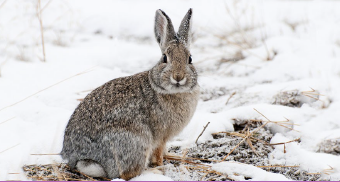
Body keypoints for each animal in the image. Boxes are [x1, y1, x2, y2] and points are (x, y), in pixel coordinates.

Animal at [61, 7, 199, 180]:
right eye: (164, 58)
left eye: (190, 59)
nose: (178, 77)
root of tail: (80, 158)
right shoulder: (160, 137)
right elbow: (158, 154)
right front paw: (161, 165)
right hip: (136, 142)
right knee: (127, 173)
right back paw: (154, 172)